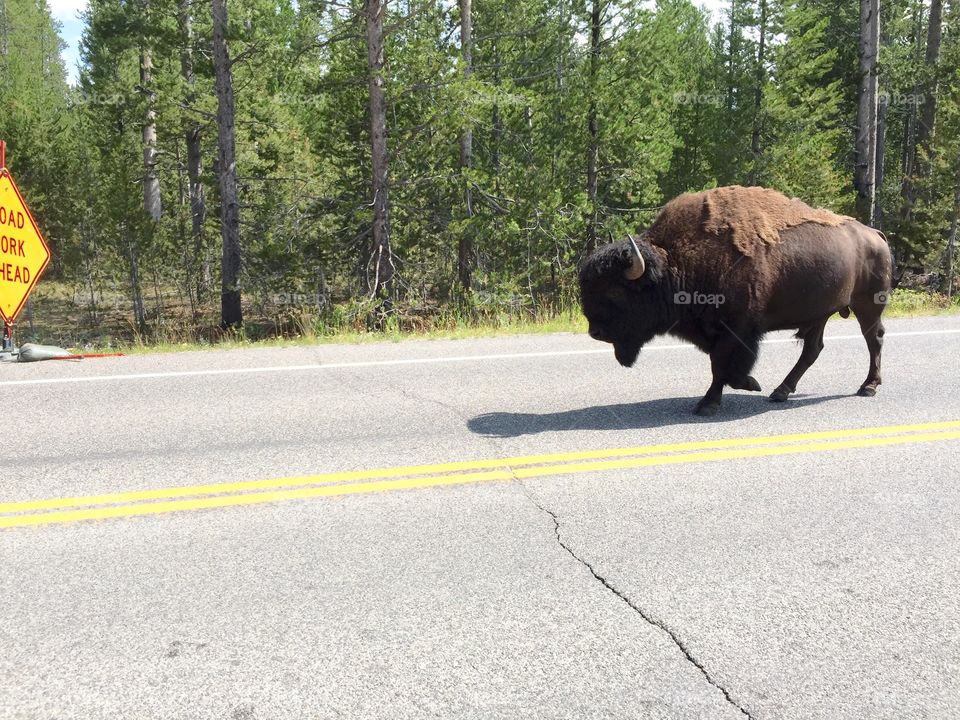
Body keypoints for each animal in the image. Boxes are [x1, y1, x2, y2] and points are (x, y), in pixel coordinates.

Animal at [579, 185, 893, 416]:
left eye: (615, 292)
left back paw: (868, 386)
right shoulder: (714, 331)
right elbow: (720, 365)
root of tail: (875, 234)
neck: (675, 262)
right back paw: (780, 392)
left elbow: (723, 365)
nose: (595, 332)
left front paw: (712, 402)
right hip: (820, 313)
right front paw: (747, 386)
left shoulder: (738, 330)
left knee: (873, 338)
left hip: (867, 304)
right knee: (813, 349)